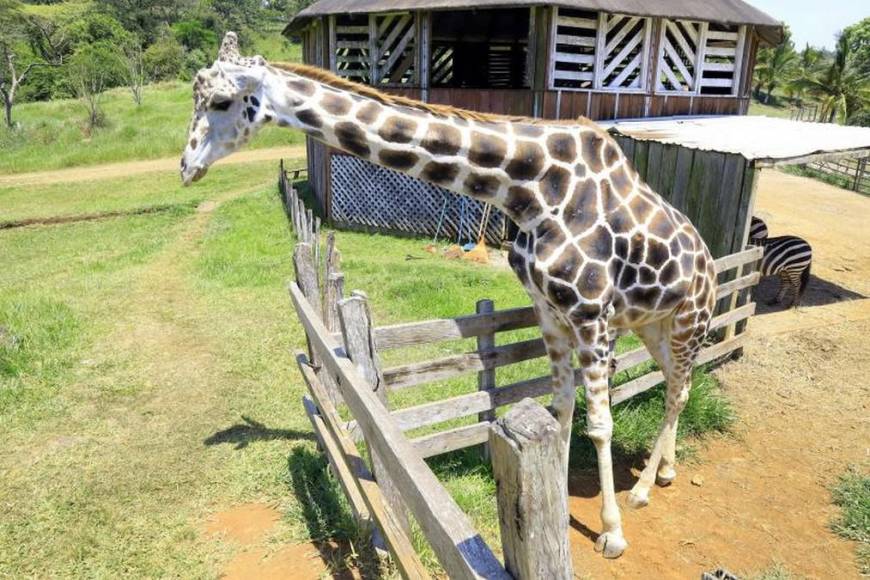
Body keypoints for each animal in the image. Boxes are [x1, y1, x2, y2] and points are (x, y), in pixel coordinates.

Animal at [181, 34, 720, 560]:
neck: (528, 190)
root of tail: (711, 263)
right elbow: (563, 409)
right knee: (677, 382)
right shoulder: (549, 312)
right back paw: (664, 470)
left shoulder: (589, 312)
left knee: (678, 390)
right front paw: (557, 503)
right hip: (652, 324)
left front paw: (611, 533)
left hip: (690, 319)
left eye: (222, 101)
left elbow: (600, 424)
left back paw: (643, 489)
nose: (187, 168)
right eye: (195, 95)